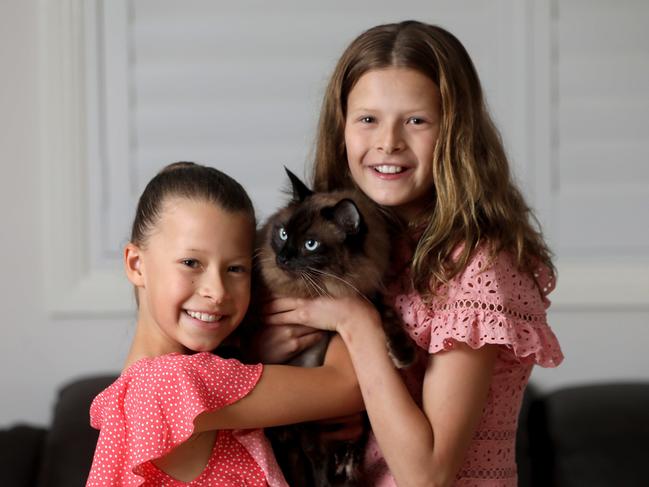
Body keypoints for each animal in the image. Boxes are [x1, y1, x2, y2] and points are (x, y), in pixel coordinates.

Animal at [253, 170, 416, 486]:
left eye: (310, 245)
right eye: (283, 234)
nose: (282, 258)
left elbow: (387, 317)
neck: (317, 288)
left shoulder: (368, 298)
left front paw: (403, 354)